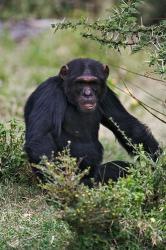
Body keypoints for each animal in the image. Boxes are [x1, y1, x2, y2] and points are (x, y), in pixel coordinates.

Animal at [24, 57, 160, 185]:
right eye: (80, 83)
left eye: (93, 83)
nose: (88, 93)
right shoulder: (48, 93)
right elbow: (40, 138)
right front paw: (61, 183)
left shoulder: (107, 94)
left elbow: (126, 125)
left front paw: (157, 166)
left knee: (121, 167)